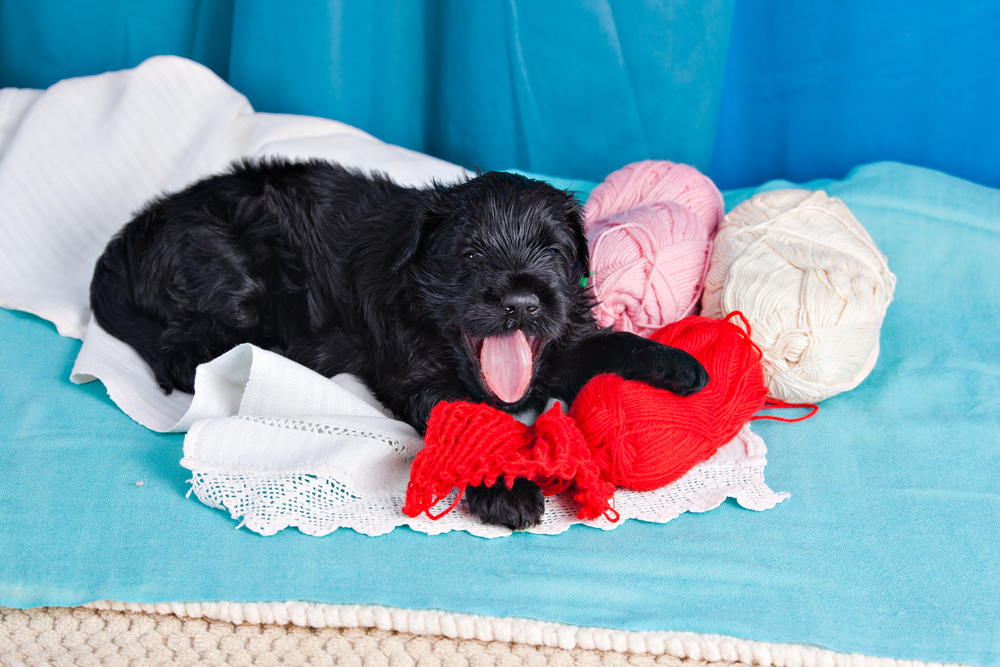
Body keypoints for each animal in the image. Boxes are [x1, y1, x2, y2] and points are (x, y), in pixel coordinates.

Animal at [90, 159, 708, 528]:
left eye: (554, 250)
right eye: (470, 254)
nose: (522, 303)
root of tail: (128, 239)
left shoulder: (559, 342)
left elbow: (609, 343)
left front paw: (678, 364)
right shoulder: (419, 375)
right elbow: (475, 417)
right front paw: (509, 486)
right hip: (225, 270)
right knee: (185, 354)